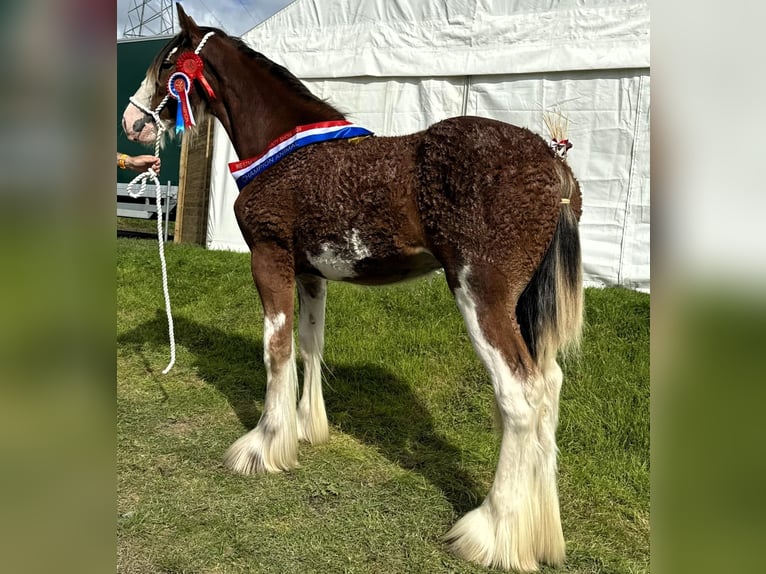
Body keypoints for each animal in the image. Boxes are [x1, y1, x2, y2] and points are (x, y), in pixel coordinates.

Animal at [123, 4, 584, 572]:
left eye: (168, 64)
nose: (133, 122)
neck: (283, 150)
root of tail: (554, 165)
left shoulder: (269, 260)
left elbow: (275, 349)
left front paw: (262, 447)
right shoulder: (310, 274)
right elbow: (308, 346)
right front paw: (304, 429)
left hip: (483, 297)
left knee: (520, 395)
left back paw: (491, 533)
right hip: (522, 306)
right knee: (550, 387)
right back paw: (538, 533)